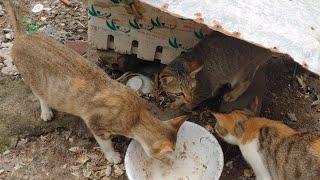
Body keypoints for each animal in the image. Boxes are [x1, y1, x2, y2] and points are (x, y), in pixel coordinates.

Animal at [6, 1, 186, 165]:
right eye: (165, 157)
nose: (172, 162)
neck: (136, 116)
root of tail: (23, 36)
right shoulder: (96, 126)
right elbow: (105, 144)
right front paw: (112, 155)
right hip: (34, 81)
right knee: (40, 95)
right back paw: (46, 111)